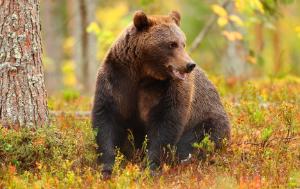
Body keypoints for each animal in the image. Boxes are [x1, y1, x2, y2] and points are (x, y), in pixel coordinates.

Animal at [91, 10, 230, 179]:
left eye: (183, 43)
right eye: (172, 44)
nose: (189, 65)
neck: (143, 74)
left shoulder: (167, 90)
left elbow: (165, 125)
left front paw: (151, 167)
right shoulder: (116, 81)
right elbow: (106, 120)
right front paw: (107, 167)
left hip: (207, 119)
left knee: (196, 140)